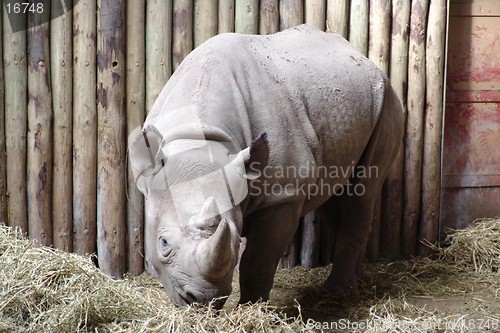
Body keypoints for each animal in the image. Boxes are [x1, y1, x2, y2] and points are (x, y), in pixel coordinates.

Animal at [129, 24, 406, 308]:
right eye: (163, 242)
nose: (204, 300)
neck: (196, 139)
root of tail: (363, 58)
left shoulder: (283, 194)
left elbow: (258, 260)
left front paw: (251, 308)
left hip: (388, 101)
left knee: (363, 191)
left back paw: (338, 293)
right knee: (336, 194)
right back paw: (355, 281)